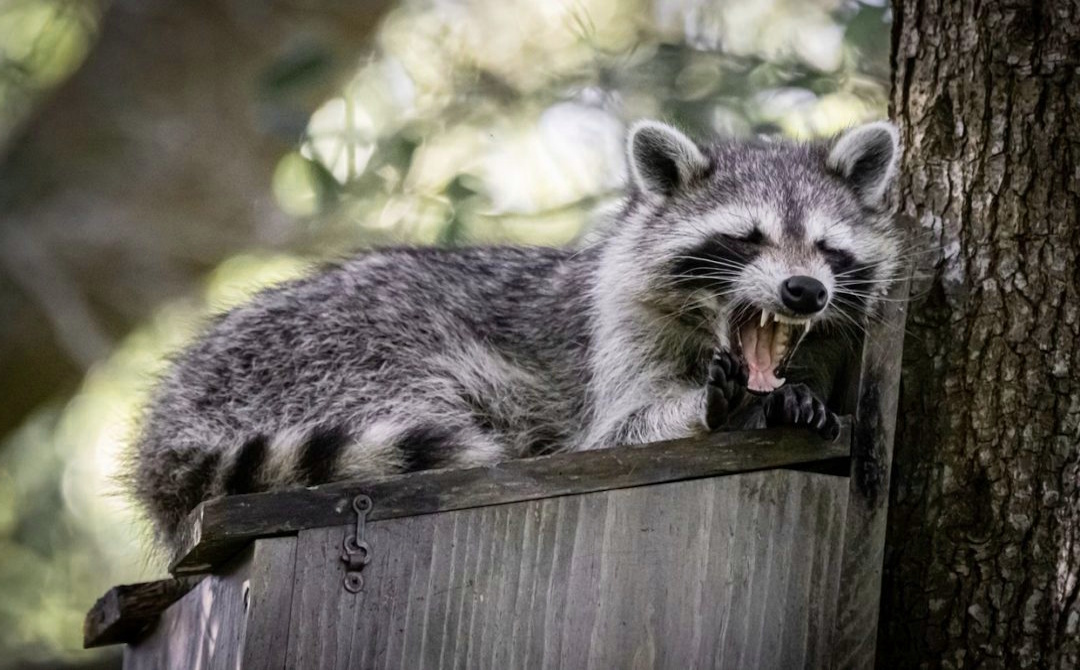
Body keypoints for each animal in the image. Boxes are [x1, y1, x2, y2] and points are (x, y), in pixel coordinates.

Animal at [131, 120, 902, 552]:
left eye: (827, 249)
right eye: (746, 239)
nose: (803, 292)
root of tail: (170, 420)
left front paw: (793, 396)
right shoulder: (613, 336)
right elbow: (614, 434)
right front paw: (710, 406)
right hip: (329, 354)